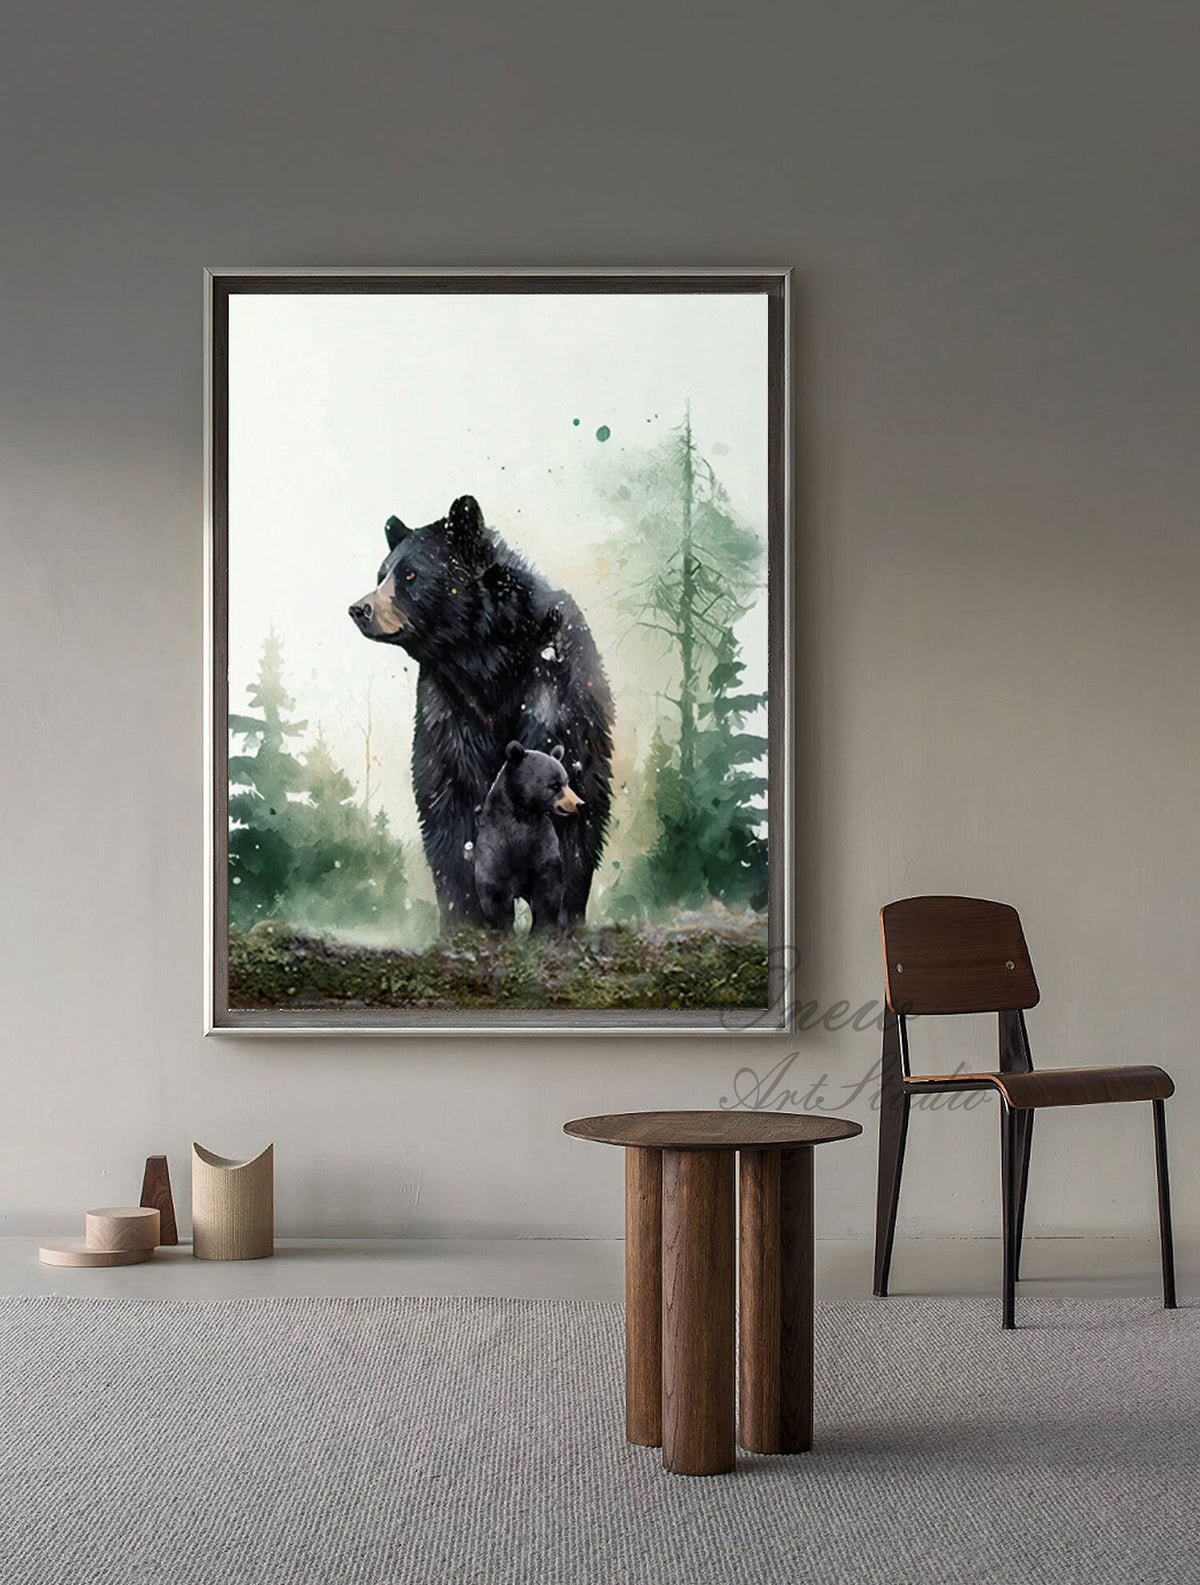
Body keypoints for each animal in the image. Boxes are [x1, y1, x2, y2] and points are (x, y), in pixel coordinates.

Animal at [474, 743, 584, 931]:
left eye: (567, 783)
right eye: (555, 786)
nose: (579, 803)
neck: (523, 812)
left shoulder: (540, 840)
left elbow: (547, 888)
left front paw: (541, 929)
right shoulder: (495, 838)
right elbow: (495, 888)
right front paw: (504, 928)